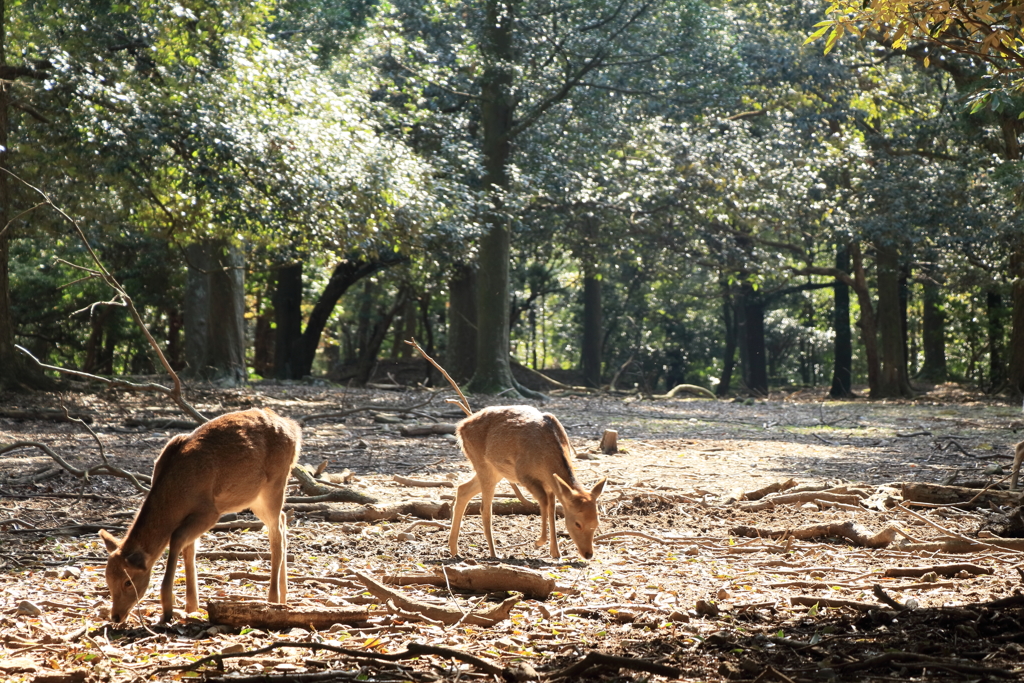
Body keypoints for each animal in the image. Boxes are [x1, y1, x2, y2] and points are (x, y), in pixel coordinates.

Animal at [98, 409, 299, 622]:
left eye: (128, 582)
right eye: (108, 580)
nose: (115, 616)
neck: (178, 494)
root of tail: (294, 428)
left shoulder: (209, 512)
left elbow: (177, 538)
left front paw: (168, 609)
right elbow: (189, 549)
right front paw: (192, 607)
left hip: (275, 483)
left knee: (276, 534)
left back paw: (273, 599)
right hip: (254, 498)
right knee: (283, 520)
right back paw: (284, 597)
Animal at [450, 405, 606, 561]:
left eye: (597, 522)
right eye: (577, 523)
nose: (588, 554)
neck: (546, 462)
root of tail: (460, 428)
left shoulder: (551, 483)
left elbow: (552, 510)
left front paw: (555, 552)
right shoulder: (524, 475)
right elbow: (544, 502)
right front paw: (538, 542)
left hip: (496, 471)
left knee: (462, 489)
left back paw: (453, 549)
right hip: (482, 463)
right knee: (485, 509)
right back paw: (493, 553)